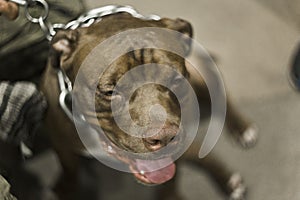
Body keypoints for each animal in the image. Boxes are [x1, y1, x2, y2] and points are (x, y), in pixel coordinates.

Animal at [39, 12, 256, 200]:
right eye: (109, 91)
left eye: (176, 79)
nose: (165, 136)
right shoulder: (60, 142)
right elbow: (69, 169)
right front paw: (66, 188)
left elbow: (171, 182)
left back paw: (241, 136)